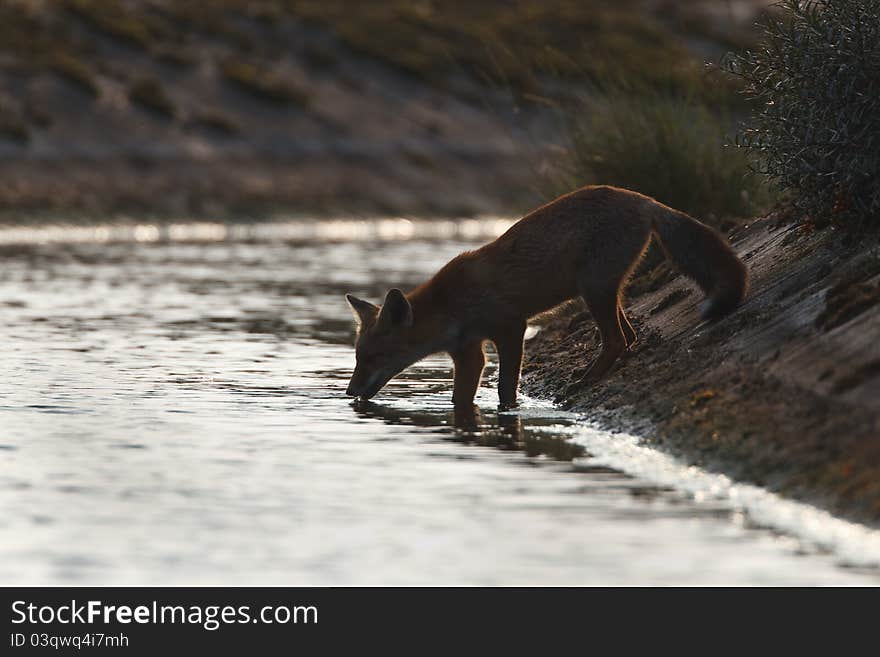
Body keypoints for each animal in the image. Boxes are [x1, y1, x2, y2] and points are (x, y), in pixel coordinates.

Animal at [348, 184, 744, 408]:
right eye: (357, 357)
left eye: (374, 357)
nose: (350, 393)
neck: (452, 305)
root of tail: (643, 199)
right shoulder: (469, 351)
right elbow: (460, 398)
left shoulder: (511, 328)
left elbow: (506, 390)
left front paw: (508, 415)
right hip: (602, 290)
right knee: (629, 336)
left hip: (593, 289)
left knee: (617, 340)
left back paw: (583, 383)